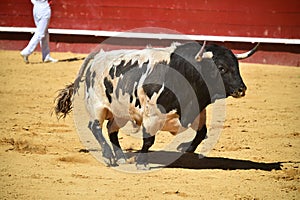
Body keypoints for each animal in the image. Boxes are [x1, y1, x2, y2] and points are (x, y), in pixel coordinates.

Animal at [54, 41, 258, 170]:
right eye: (221, 68)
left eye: (236, 66)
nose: (241, 89)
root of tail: (98, 56)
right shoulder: (151, 116)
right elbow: (148, 140)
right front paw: (142, 162)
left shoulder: (197, 112)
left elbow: (202, 133)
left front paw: (185, 150)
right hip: (97, 106)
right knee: (95, 127)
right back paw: (109, 156)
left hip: (120, 112)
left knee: (112, 130)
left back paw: (120, 157)